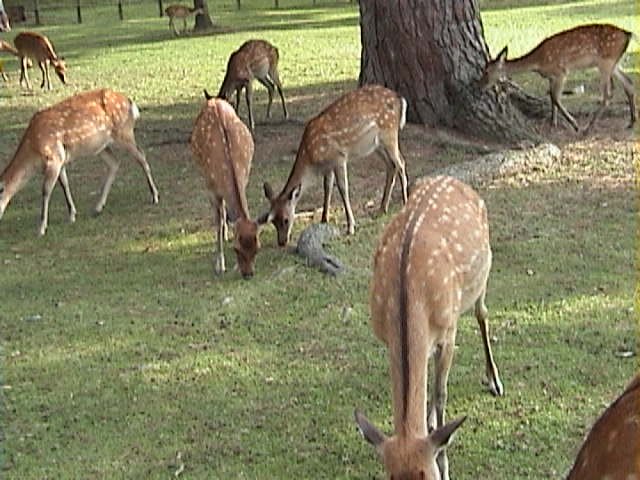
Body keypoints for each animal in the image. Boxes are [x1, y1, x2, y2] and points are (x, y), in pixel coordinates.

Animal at [0, 88, 159, 236]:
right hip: (101, 146)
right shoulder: (61, 160)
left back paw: (154, 196)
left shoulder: (54, 158)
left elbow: (46, 190)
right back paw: (98, 207)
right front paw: (72, 215)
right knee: (115, 163)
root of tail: (130, 102)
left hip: (124, 132)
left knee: (141, 156)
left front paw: (41, 229)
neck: (34, 149)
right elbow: (65, 184)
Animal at [189, 95, 264, 280]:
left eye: (257, 248)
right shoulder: (210, 188)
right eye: (237, 249)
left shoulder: (244, 178)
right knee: (222, 211)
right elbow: (217, 220)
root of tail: (214, 99)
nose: (248, 274)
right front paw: (220, 265)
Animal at [258, 83, 404, 246]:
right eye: (272, 221)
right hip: (377, 145)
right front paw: (324, 219)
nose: (282, 242)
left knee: (401, 163)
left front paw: (350, 227)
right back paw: (382, 209)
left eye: (285, 219)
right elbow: (327, 188)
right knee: (391, 166)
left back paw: (404, 201)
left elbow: (342, 188)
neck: (311, 158)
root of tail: (400, 100)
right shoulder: (327, 166)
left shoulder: (338, 157)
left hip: (389, 134)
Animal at [356, 175, 504, 480]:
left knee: (481, 313)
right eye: (390, 476)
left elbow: (440, 393)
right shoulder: (388, 339)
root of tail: (452, 179)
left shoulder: (448, 332)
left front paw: (446, 462)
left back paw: (494, 380)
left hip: (483, 271)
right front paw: (430, 421)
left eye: (428, 474)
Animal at [482, 23, 636, 132]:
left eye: (487, 71)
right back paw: (631, 122)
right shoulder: (551, 77)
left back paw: (588, 128)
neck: (538, 62)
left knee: (607, 95)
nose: (480, 84)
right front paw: (553, 123)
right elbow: (551, 97)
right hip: (613, 63)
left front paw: (574, 124)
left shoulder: (561, 72)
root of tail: (628, 34)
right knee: (629, 83)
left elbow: (556, 98)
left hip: (605, 62)